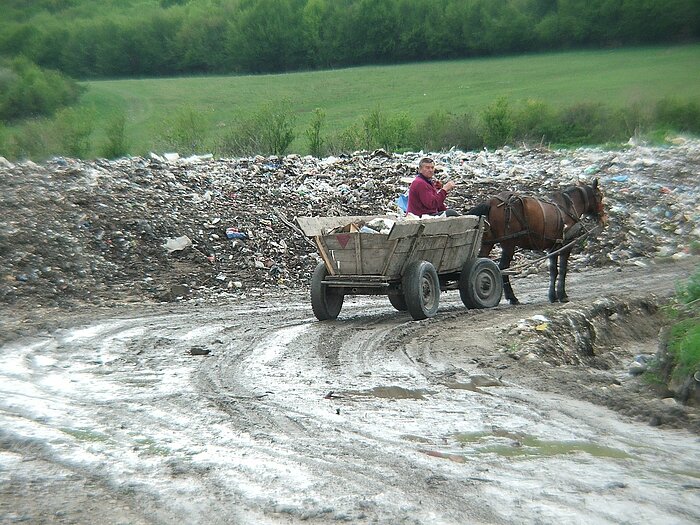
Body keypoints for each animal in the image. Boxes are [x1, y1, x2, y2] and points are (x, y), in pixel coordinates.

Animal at [468, 179, 604, 304]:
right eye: (600, 196)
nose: (603, 218)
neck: (569, 207)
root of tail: (491, 202)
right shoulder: (566, 244)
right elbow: (563, 269)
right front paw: (562, 295)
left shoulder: (553, 247)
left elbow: (553, 270)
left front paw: (553, 296)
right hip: (509, 244)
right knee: (502, 268)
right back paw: (512, 297)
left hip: (488, 242)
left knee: (481, 260)